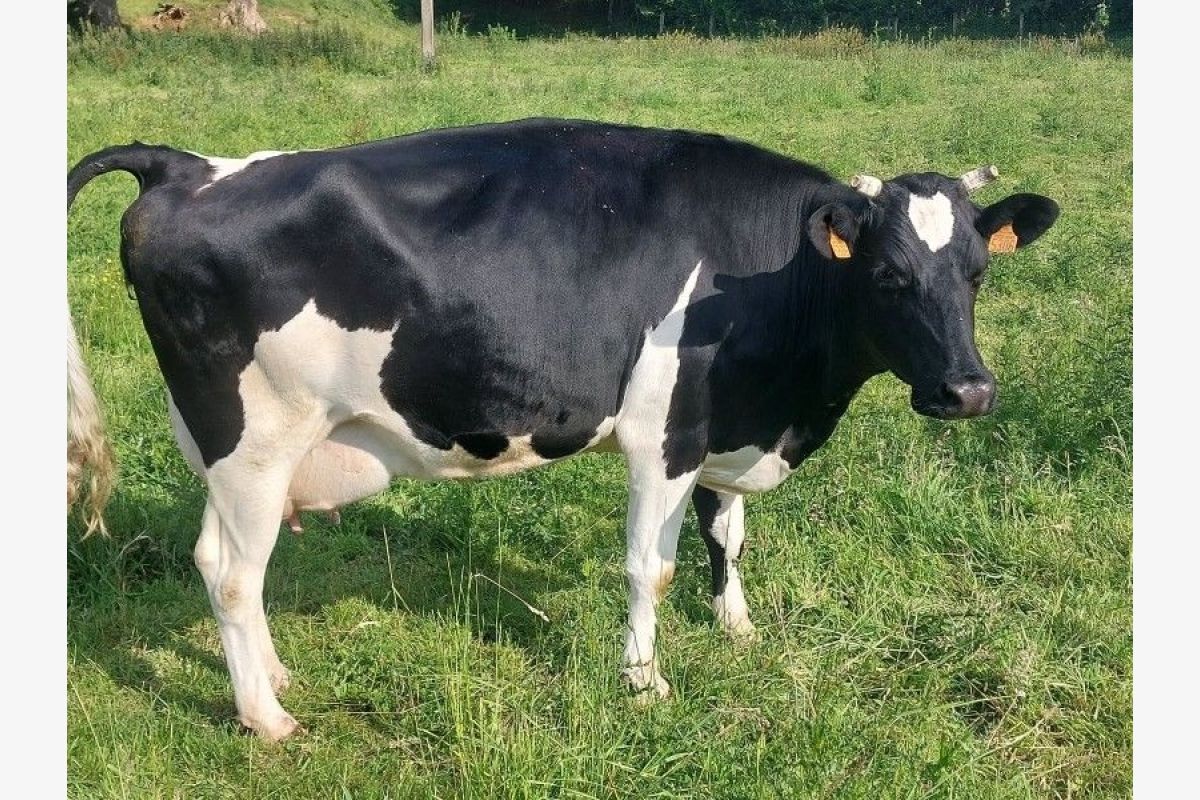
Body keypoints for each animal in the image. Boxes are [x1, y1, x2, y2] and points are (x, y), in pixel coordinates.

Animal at [66, 118, 1059, 741]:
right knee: (233, 573)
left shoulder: (721, 422)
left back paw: (271, 680)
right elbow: (651, 566)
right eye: (888, 275)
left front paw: (736, 627)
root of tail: (185, 166)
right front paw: (645, 681)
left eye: (976, 272)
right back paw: (266, 719)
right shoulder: (663, 430)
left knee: (226, 557)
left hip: (231, 450)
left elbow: (728, 532)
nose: (969, 391)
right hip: (255, 436)